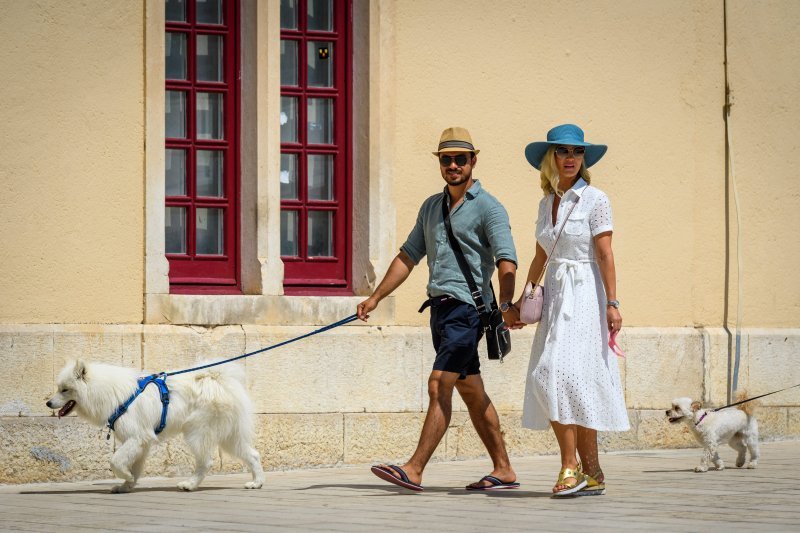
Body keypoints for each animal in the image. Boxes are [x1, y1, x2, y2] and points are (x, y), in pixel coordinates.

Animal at [47, 360, 266, 492]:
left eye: (65, 390)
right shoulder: (141, 443)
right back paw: (257, 483)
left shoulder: (136, 437)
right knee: (253, 455)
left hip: (197, 433)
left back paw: (189, 485)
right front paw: (127, 485)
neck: (110, 394)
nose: (48, 403)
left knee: (206, 462)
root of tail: (217, 380)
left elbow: (115, 461)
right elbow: (133, 467)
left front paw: (125, 477)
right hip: (230, 437)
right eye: (58, 388)